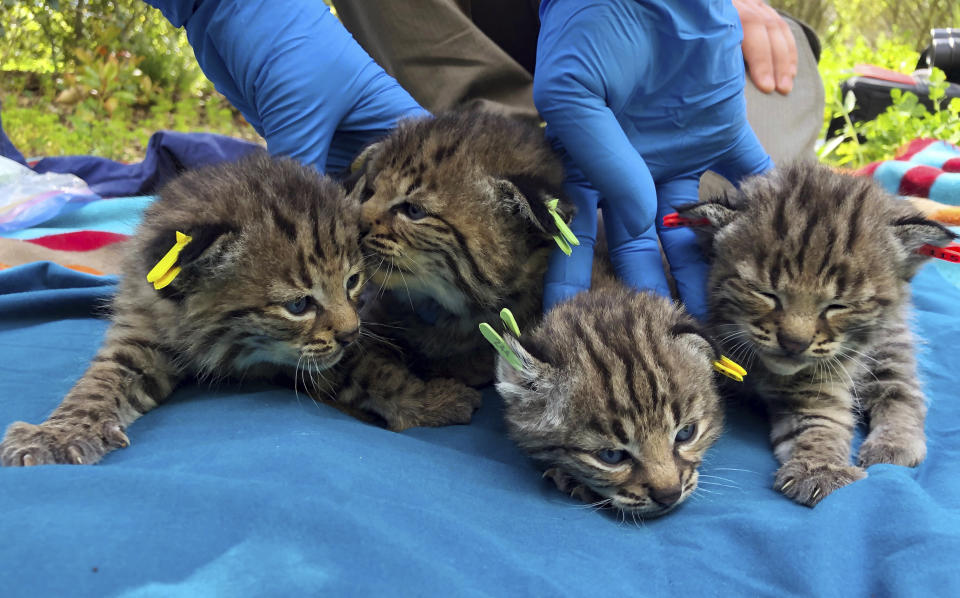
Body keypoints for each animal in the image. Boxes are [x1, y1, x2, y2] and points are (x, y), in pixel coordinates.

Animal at [0, 156, 480, 468]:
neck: (235, 350)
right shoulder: (141, 333)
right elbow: (98, 384)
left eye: (353, 282)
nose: (350, 332)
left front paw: (429, 400)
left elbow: (377, 371)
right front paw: (59, 433)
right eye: (298, 304)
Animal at [680, 163, 956, 506]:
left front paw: (821, 468)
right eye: (766, 294)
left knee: (902, 388)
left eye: (838, 306)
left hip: (891, 339)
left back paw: (895, 443)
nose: (794, 343)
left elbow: (828, 417)